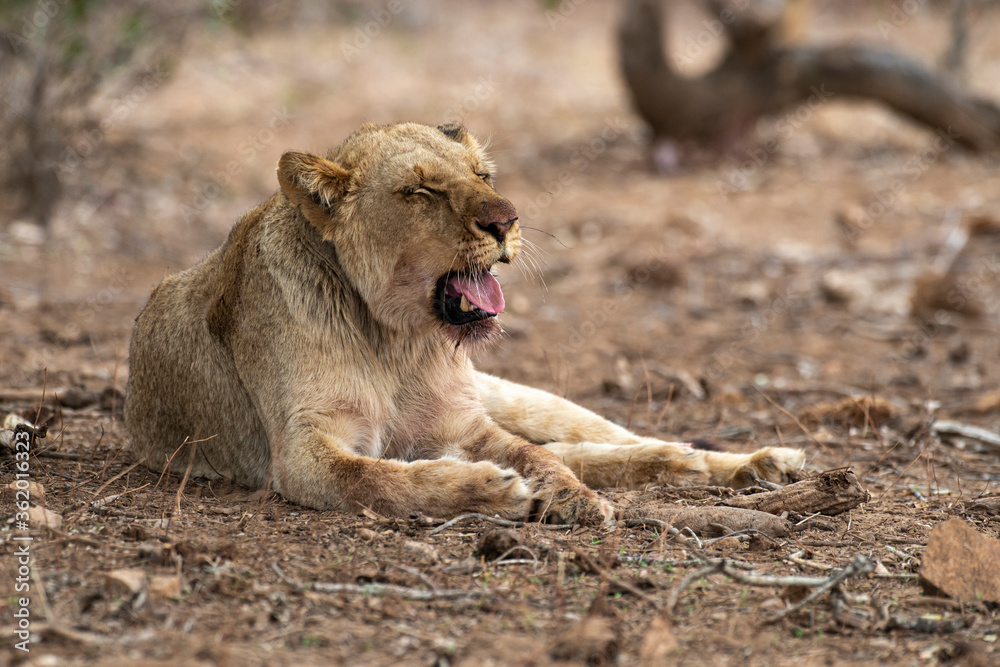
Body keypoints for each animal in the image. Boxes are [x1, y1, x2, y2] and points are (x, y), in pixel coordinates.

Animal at [124, 122, 803, 525]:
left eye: (482, 175)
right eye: (421, 191)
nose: (506, 219)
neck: (397, 337)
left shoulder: (464, 424)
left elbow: (537, 460)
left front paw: (572, 499)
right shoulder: (303, 448)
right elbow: (376, 478)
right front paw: (491, 490)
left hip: (523, 399)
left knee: (604, 440)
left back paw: (749, 463)